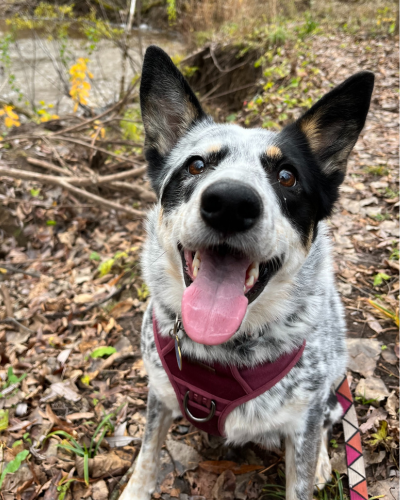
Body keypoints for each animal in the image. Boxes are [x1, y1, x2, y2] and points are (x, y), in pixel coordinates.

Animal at [119, 45, 376, 498]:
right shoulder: (160, 394)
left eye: (287, 176)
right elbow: (147, 454)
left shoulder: (305, 417)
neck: (222, 351)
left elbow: (302, 468)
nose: (230, 203)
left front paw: (316, 464)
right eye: (196, 165)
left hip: (330, 398)